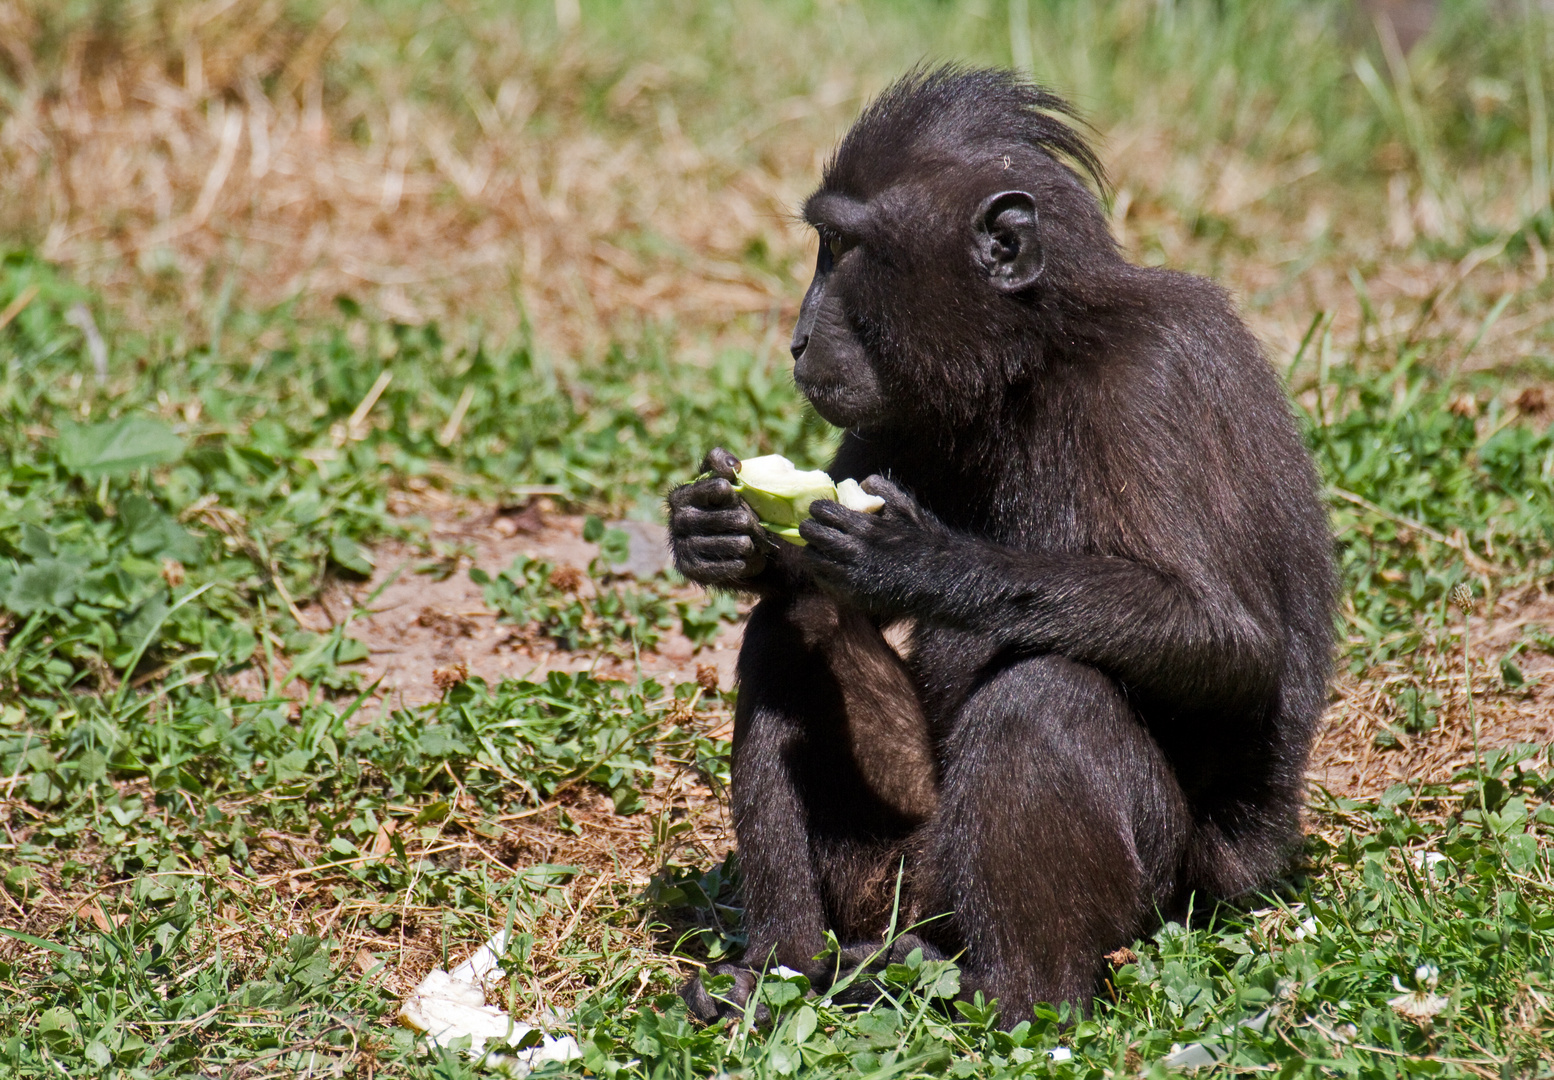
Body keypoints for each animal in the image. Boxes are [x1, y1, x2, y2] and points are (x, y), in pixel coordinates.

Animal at [668, 71, 1336, 1025]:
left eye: (841, 248)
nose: (797, 339)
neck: (1038, 356)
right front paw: (715, 531)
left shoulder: (1155, 381)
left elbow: (1228, 637)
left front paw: (923, 562)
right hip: (898, 869)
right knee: (795, 627)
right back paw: (782, 968)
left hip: (1138, 893)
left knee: (1046, 695)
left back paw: (1017, 1001)